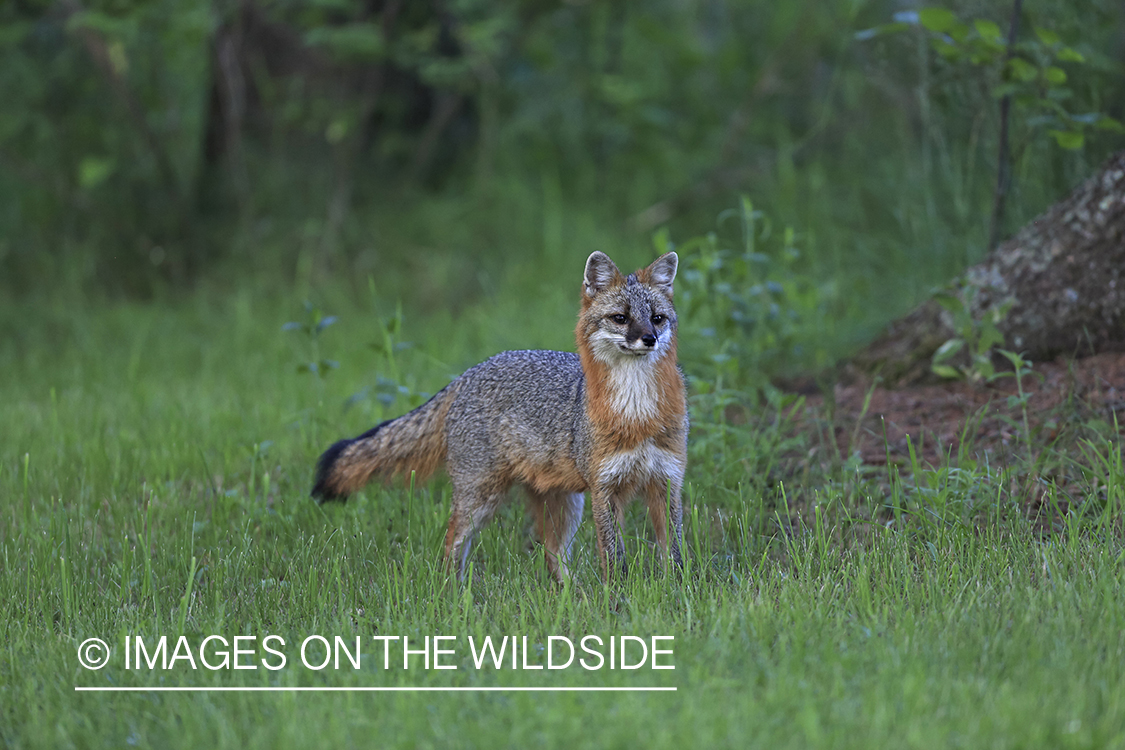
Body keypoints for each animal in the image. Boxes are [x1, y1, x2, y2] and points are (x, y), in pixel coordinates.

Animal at [311, 251, 688, 582]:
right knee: (452, 545)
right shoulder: (605, 488)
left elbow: (674, 553)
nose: (649, 338)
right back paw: (454, 595)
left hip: (564, 504)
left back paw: (573, 595)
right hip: (481, 498)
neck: (637, 413)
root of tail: (468, 373)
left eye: (657, 318)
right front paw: (616, 601)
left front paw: (676, 593)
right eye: (621, 318)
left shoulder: (666, 480)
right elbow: (614, 557)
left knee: (553, 555)